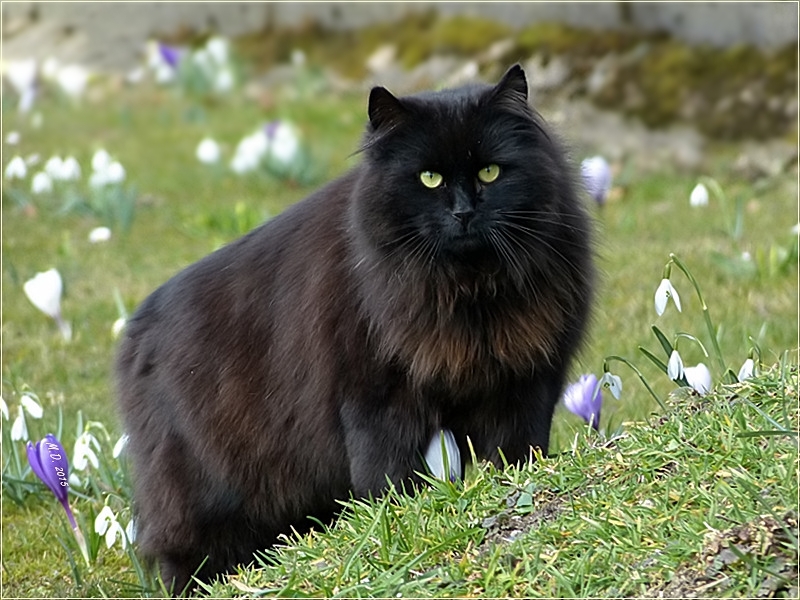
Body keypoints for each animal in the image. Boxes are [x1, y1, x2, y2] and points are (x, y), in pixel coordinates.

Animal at [117, 63, 592, 592]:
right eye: (429, 178)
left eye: (490, 171)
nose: (464, 212)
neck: (466, 293)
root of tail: (135, 333)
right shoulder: (377, 402)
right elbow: (388, 480)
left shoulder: (523, 382)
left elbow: (516, 457)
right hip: (208, 499)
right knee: (183, 559)